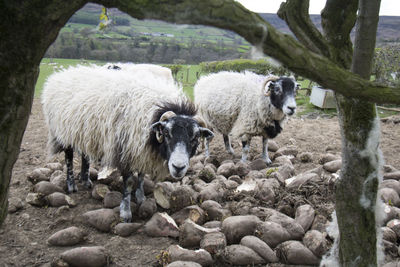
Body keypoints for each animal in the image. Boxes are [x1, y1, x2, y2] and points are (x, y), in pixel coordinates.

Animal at [42, 65, 214, 222]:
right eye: (166, 133)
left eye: (195, 138)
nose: (178, 167)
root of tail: (60, 75)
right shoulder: (125, 149)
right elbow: (129, 182)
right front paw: (125, 212)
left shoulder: (142, 151)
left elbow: (142, 175)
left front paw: (141, 197)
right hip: (63, 132)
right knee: (69, 157)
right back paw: (71, 185)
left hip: (85, 133)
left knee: (85, 154)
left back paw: (86, 181)